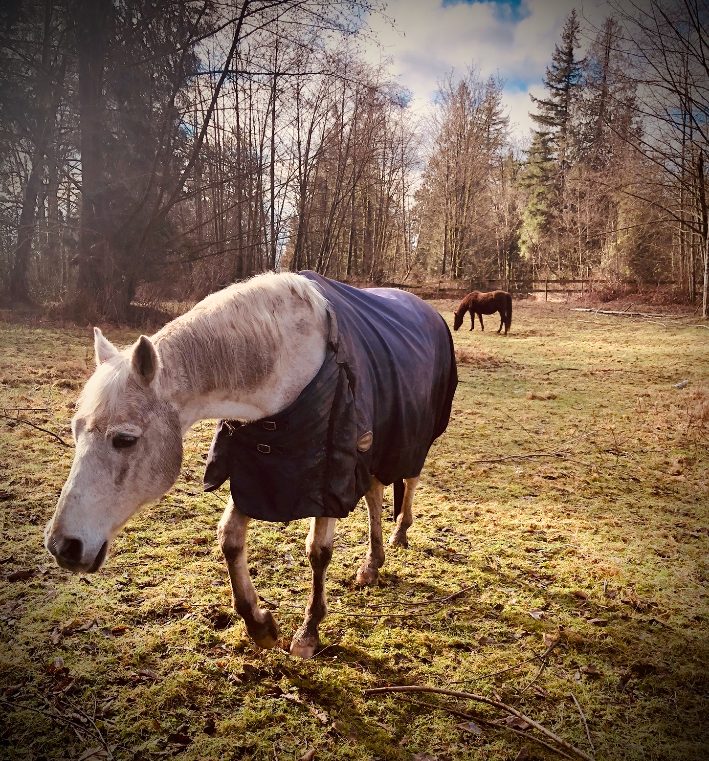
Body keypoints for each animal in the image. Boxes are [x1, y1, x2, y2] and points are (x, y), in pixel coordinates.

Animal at [45, 271, 457, 659]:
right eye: (76, 430)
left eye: (125, 440)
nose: (63, 546)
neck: (282, 363)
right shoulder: (254, 468)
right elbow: (229, 538)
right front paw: (260, 625)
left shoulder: (330, 476)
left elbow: (318, 552)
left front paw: (308, 633)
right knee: (374, 492)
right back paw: (372, 564)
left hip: (412, 439)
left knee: (409, 482)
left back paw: (400, 533)